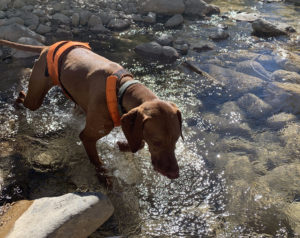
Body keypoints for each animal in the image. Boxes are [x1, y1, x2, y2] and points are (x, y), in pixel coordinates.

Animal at [0, 39, 183, 186]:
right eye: (157, 142)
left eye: (175, 140)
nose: (175, 174)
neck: (121, 89)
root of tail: (47, 47)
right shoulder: (87, 137)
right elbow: (97, 161)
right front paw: (104, 177)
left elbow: (138, 143)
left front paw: (123, 145)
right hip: (35, 98)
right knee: (23, 96)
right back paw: (17, 103)